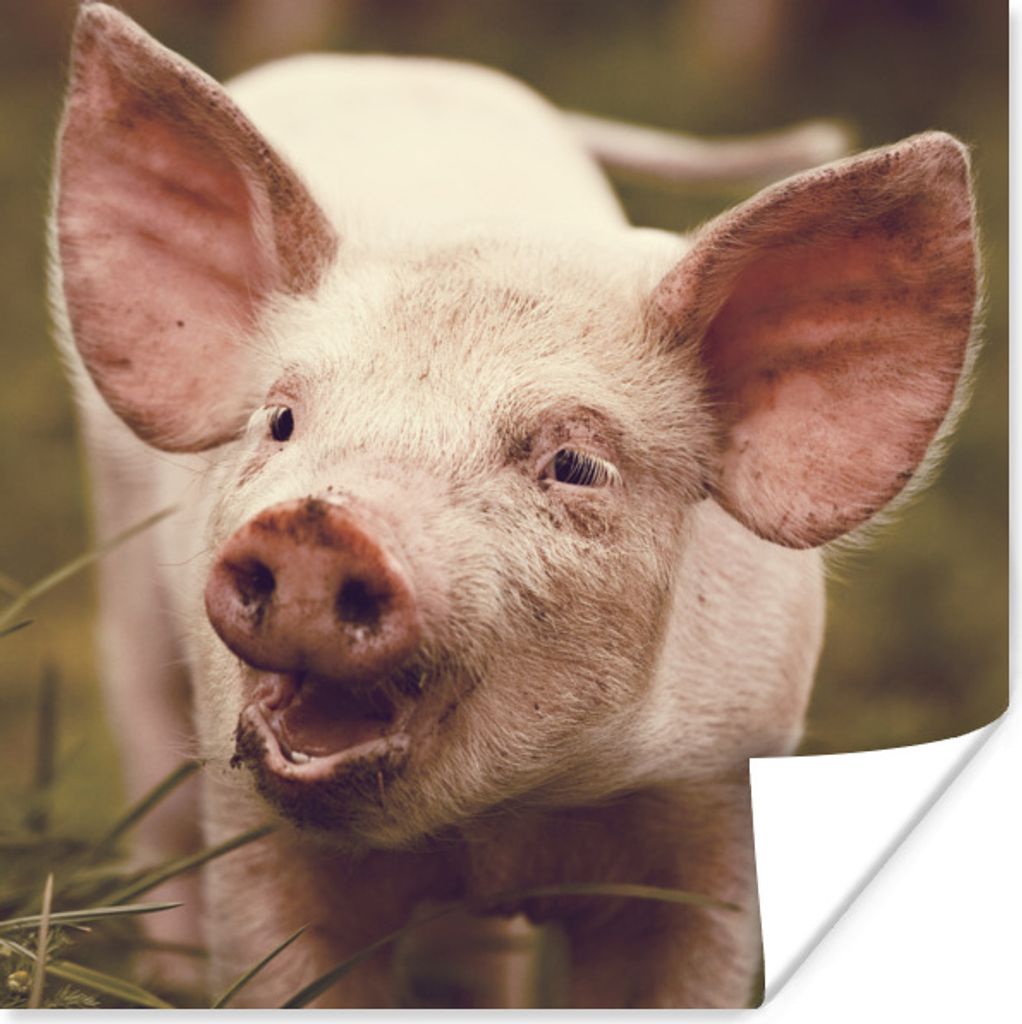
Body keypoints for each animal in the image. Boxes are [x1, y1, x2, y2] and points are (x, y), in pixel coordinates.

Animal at [51, 1, 979, 1009]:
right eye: (283, 420)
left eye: (574, 465)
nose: (318, 524)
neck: (505, 822)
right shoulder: (257, 834)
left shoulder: (719, 804)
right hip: (127, 600)